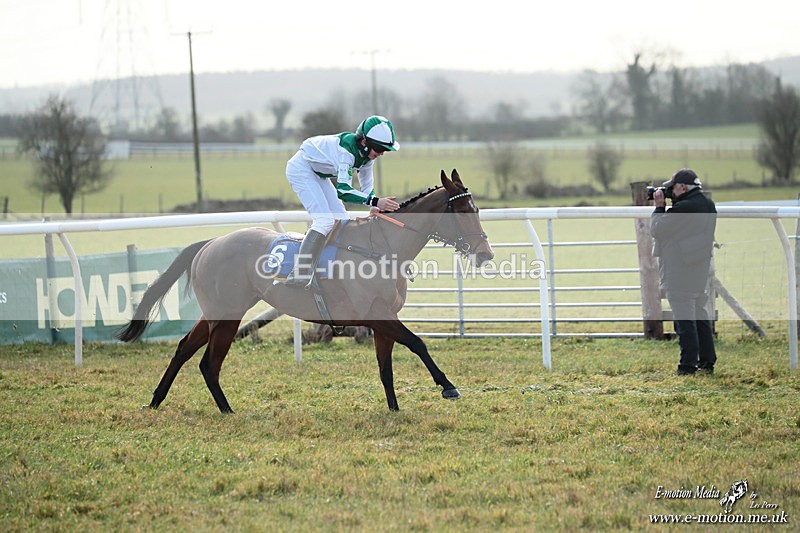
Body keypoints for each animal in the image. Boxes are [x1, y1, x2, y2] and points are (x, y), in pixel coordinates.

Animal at [116, 169, 494, 413]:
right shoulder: (376, 316)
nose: (485, 254)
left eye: (476, 209)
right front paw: (448, 386)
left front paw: (394, 409)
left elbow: (385, 365)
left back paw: (156, 400)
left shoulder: (383, 317)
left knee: (184, 350)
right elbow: (417, 343)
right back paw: (226, 410)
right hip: (227, 315)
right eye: (463, 211)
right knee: (209, 362)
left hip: (215, 313)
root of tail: (210, 242)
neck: (381, 248)